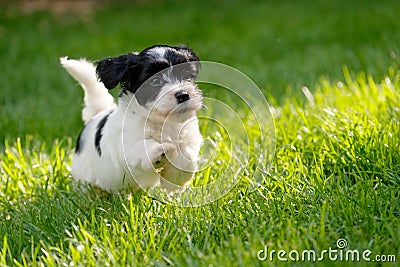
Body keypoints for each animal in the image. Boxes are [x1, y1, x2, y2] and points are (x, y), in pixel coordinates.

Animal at [60, 45, 203, 194]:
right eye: (155, 81)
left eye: (187, 75)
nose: (183, 95)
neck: (160, 121)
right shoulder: (128, 146)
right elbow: (143, 145)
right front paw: (161, 152)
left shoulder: (190, 135)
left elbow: (187, 156)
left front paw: (174, 181)